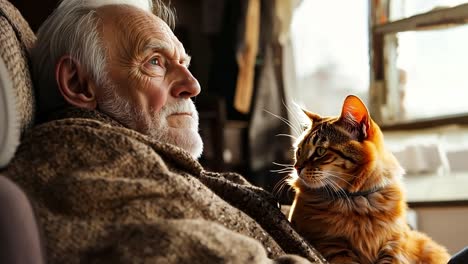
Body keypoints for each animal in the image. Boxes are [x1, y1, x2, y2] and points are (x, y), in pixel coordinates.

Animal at [288, 95, 450, 264]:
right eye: (299, 151)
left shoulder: (395, 243)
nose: (297, 167)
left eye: (320, 151)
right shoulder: (331, 245)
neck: (358, 198)